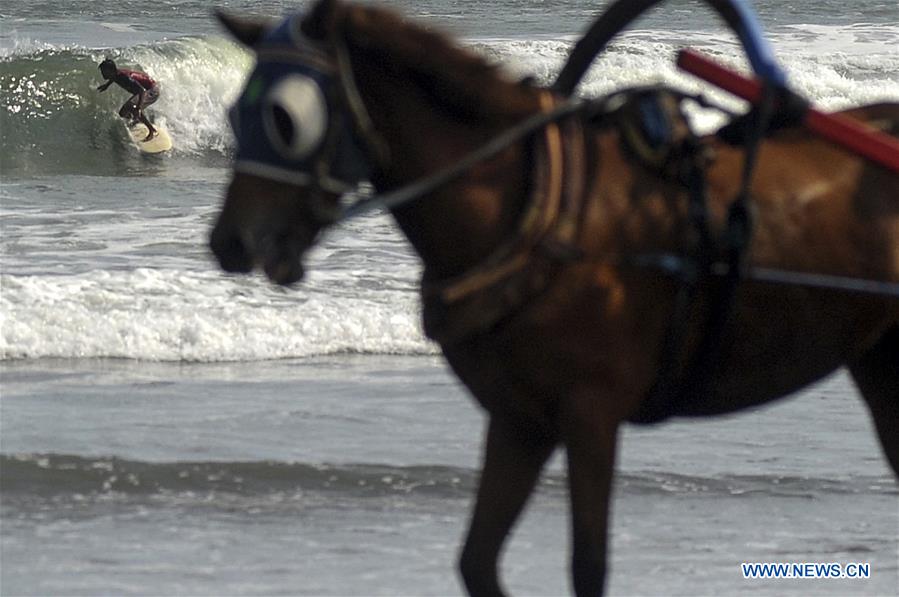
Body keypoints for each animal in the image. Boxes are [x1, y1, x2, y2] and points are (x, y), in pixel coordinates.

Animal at [207, 2, 896, 592]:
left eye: (285, 119)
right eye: (234, 115)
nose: (229, 241)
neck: (535, 209)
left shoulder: (591, 415)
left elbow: (587, 566)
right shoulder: (518, 421)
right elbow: (477, 562)